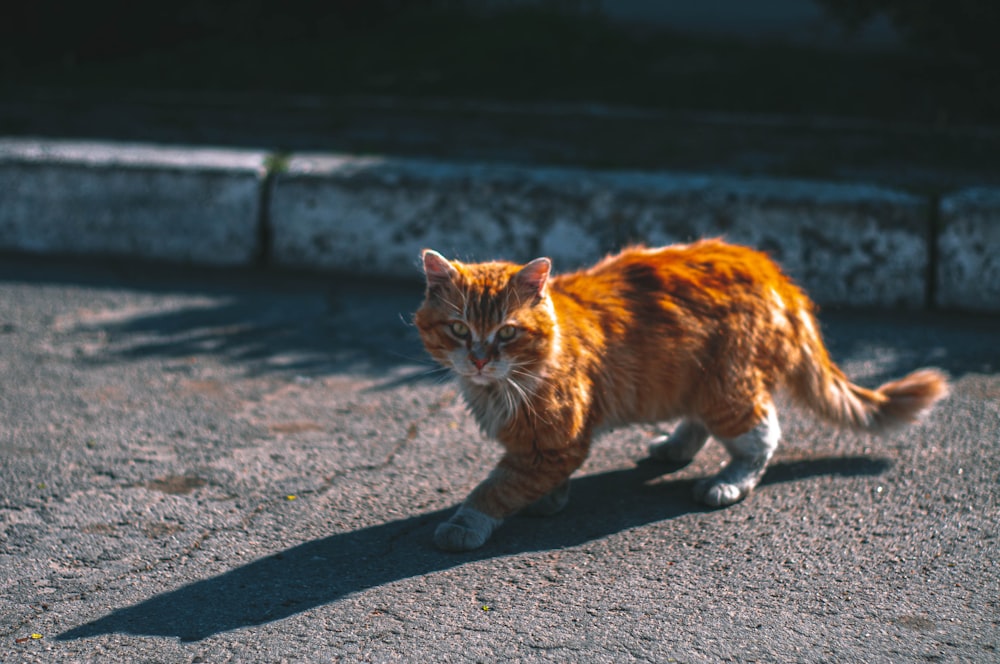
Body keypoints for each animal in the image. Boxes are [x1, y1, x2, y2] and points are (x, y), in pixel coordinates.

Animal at [416, 241, 952, 552]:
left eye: (506, 333)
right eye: (459, 329)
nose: (479, 360)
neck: (503, 384)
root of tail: (769, 269)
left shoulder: (555, 439)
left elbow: (497, 487)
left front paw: (467, 523)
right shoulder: (548, 444)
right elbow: (532, 478)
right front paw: (550, 499)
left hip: (727, 388)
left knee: (763, 436)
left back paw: (728, 482)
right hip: (693, 380)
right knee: (700, 423)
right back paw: (673, 448)